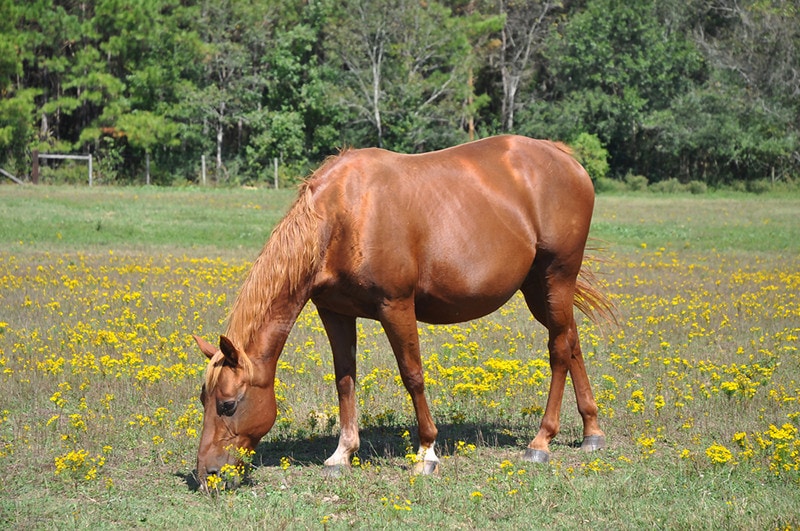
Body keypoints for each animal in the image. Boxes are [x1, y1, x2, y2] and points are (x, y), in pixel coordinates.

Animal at [192, 135, 612, 488]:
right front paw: (342, 453)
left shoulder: (396, 306)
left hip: (557, 277)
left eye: (228, 404)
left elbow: (413, 375)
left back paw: (541, 441)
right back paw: (592, 431)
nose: (207, 474)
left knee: (558, 351)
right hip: (538, 289)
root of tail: (564, 157)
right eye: (202, 400)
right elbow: (344, 380)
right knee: (570, 341)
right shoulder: (334, 312)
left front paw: (427, 453)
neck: (344, 215)